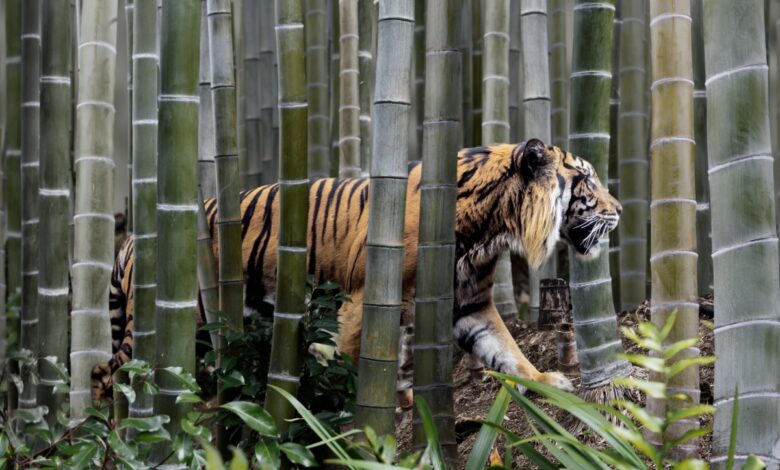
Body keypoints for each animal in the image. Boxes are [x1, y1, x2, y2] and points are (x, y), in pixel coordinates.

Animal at [93, 139, 622, 403]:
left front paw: (547, 380)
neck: (492, 224)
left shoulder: (469, 302)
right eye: (588, 180)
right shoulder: (364, 298)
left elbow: (506, 350)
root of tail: (131, 241)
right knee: (108, 376)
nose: (620, 210)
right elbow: (353, 365)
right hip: (173, 320)